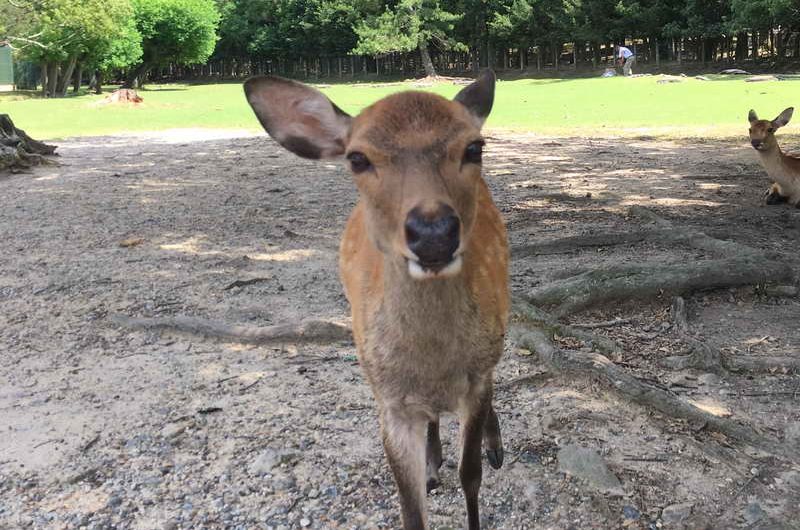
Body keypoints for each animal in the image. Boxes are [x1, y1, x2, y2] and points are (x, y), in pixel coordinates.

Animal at [242, 71, 512, 528]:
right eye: (357, 158)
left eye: (474, 147)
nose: (433, 233)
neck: (433, 360)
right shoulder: (388, 400)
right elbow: (410, 507)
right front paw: (428, 472)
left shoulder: (476, 378)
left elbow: (471, 475)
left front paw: (479, 461)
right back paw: (433, 462)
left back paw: (490, 447)